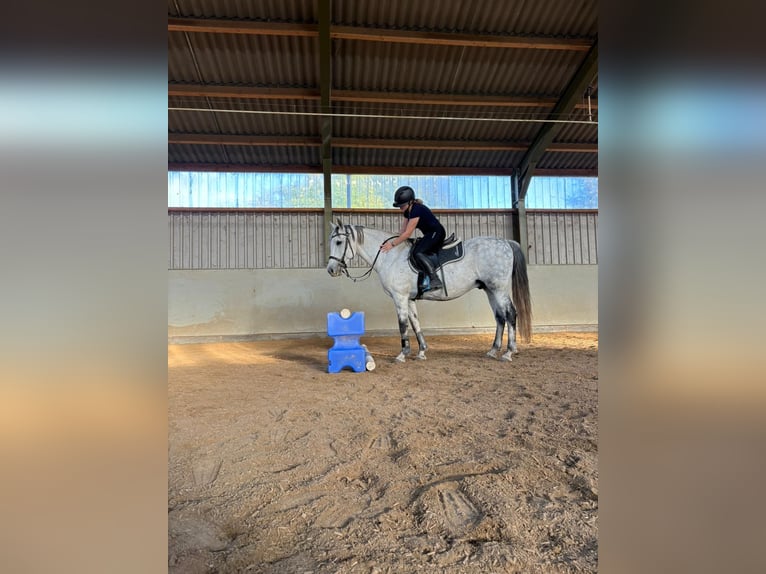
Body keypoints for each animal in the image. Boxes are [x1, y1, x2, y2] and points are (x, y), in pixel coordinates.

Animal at [326, 219, 532, 362]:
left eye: (338, 242)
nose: (331, 270)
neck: (391, 256)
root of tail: (506, 242)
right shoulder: (409, 299)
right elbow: (415, 322)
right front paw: (421, 351)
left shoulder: (399, 297)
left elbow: (402, 324)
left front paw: (402, 354)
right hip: (490, 290)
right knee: (500, 317)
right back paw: (493, 350)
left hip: (499, 289)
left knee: (510, 314)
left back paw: (508, 352)